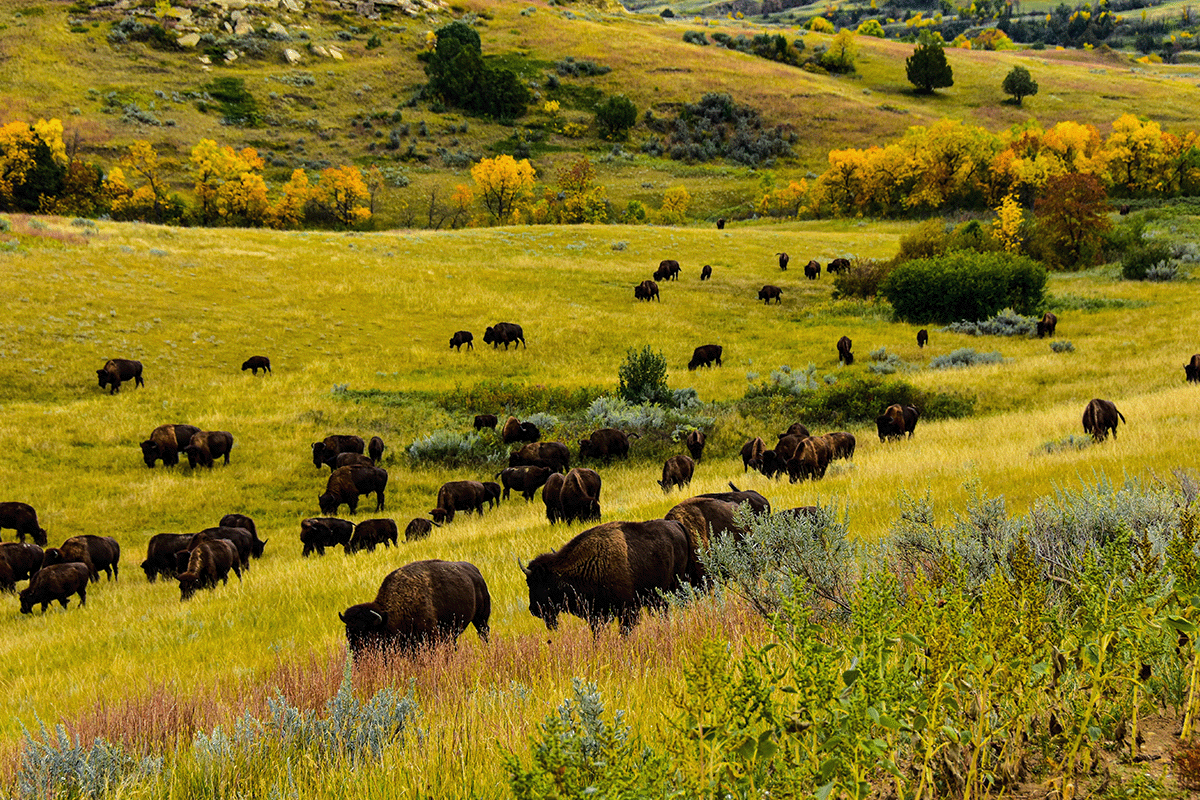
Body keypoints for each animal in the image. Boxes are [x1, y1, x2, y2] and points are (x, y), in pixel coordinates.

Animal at [338, 556, 487, 657]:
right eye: (348, 634)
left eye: (368, 635)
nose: (357, 657)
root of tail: (476, 572)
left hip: (481, 619)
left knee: (484, 633)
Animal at [520, 520, 691, 638]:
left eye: (533, 583)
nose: (533, 609)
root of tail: (676, 524)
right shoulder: (597, 615)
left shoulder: (627, 611)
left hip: (674, 587)